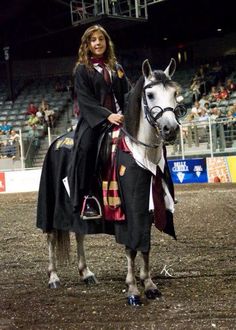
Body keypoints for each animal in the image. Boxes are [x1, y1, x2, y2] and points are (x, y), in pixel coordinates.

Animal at [37, 58, 185, 306]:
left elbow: (145, 247)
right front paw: (133, 290)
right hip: (49, 205)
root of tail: (56, 142)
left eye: (175, 93)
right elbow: (131, 248)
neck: (140, 152)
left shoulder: (148, 208)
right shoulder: (130, 212)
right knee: (50, 236)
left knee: (79, 234)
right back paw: (53, 277)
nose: (170, 129)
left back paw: (86, 273)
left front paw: (150, 285)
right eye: (150, 94)